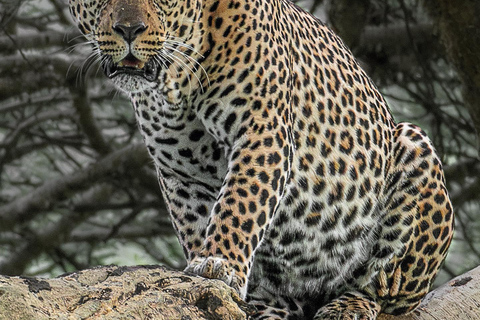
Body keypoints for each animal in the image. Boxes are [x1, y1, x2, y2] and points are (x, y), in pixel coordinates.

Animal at [68, 1, 454, 318]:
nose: (129, 29)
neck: (175, 83)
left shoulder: (262, 129)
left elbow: (241, 202)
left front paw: (218, 264)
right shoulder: (179, 170)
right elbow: (196, 222)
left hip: (414, 147)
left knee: (381, 287)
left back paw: (348, 307)